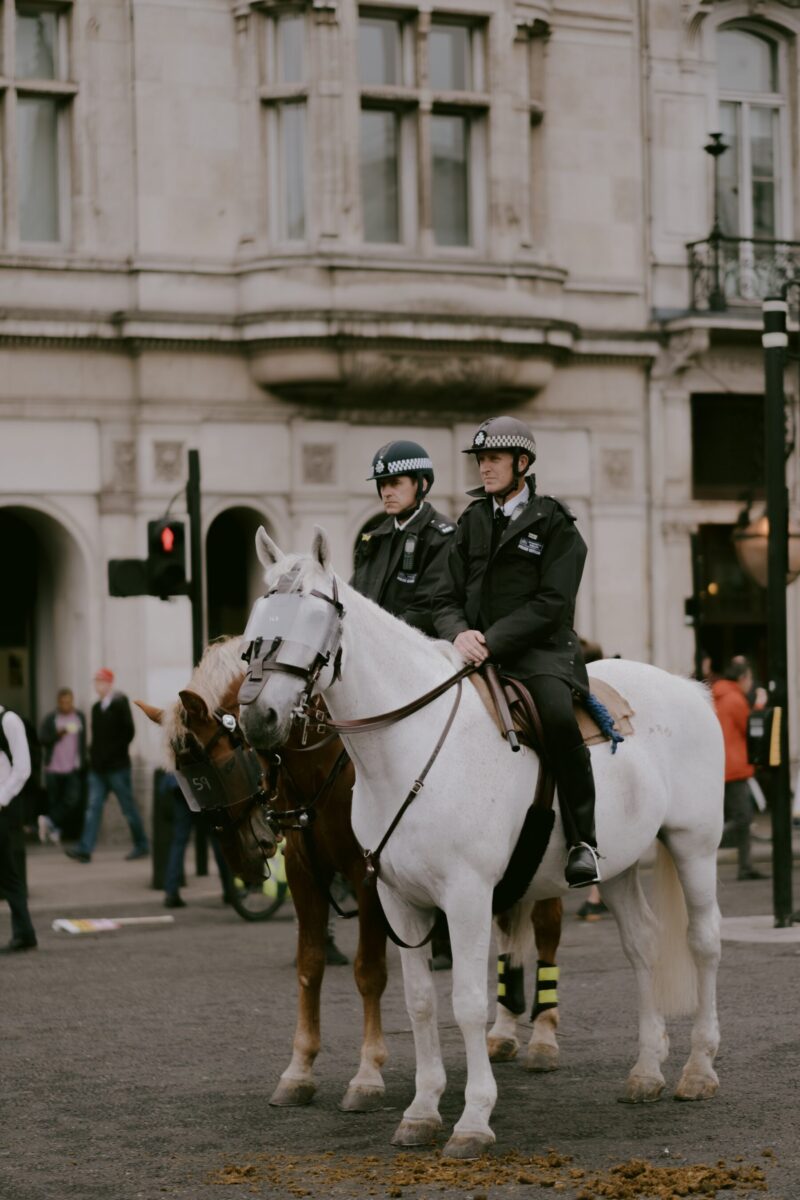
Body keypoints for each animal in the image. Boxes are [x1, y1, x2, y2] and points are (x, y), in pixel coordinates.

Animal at [139, 643, 568, 1108]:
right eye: (187, 782)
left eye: (222, 768)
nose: (243, 863)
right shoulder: (304, 872)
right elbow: (310, 965)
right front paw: (299, 1069)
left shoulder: (369, 878)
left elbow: (369, 972)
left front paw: (367, 1074)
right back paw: (504, 1033)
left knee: (546, 929)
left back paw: (543, 1038)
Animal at [237, 530, 724, 1156]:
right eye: (256, 619)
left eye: (314, 615)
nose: (259, 717)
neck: (408, 746)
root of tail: (691, 687)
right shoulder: (397, 899)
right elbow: (420, 1002)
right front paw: (421, 1110)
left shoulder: (466, 897)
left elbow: (467, 1002)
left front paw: (473, 1118)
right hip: (614, 868)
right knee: (643, 945)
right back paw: (645, 1071)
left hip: (694, 845)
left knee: (703, 943)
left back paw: (698, 1069)